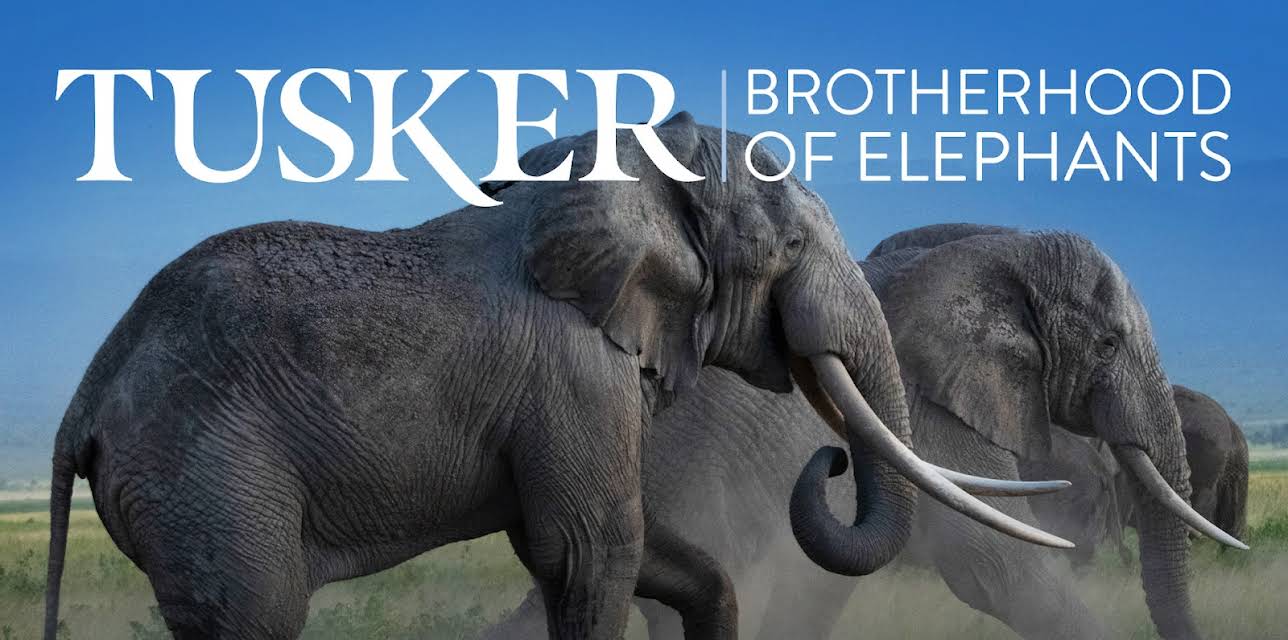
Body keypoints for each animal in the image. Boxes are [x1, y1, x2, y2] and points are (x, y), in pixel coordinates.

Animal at [42, 116, 1062, 640]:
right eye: (791, 250)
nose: (834, 462)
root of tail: (84, 400)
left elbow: (627, 553)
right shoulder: (574, 373)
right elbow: (588, 554)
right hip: (207, 478)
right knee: (256, 616)